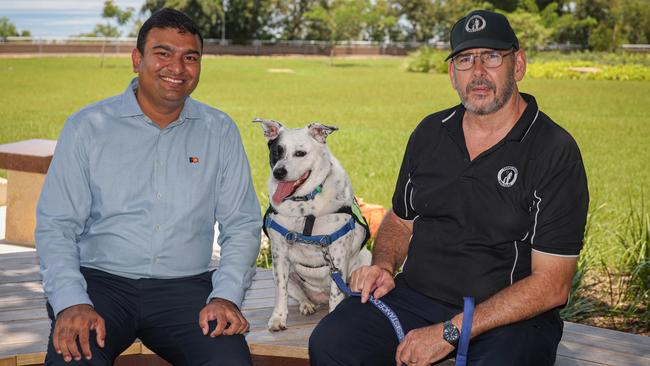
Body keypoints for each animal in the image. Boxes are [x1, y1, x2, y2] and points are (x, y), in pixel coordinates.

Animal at [252, 118, 368, 330]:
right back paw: (307, 305)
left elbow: (336, 295)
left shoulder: (338, 255)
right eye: (276, 152)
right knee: (300, 295)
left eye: (300, 153)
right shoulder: (279, 254)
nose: (279, 172)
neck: (305, 205)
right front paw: (278, 318)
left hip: (364, 262)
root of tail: (319, 294)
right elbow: (280, 291)